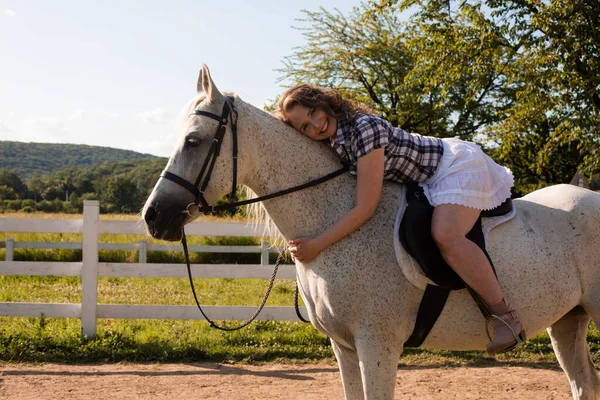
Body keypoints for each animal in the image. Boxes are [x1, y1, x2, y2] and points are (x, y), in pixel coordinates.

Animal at [142, 64, 600, 398]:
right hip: (567, 321)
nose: (153, 217)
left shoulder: (376, 345)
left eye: (194, 140)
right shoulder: (344, 347)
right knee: (584, 383)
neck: (333, 221)